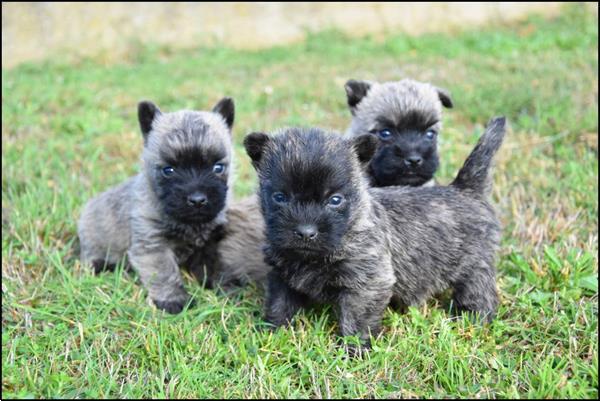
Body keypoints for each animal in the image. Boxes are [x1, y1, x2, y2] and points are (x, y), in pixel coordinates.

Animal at [79, 97, 237, 312]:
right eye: (168, 170)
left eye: (218, 168)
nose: (197, 200)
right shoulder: (153, 247)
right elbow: (164, 274)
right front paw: (173, 300)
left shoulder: (210, 243)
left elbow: (213, 265)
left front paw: (223, 286)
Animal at [244, 117, 506, 352]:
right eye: (280, 197)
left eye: (335, 200)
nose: (306, 232)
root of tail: (465, 189)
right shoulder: (281, 276)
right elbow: (279, 304)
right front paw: (272, 332)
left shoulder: (367, 283)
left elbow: (356, 319)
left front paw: (354, 351)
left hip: (475, 268)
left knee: (481, 295)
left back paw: (473, 319)